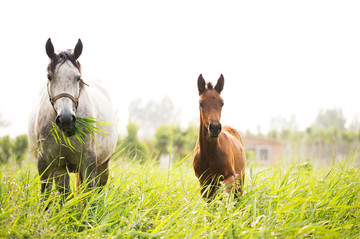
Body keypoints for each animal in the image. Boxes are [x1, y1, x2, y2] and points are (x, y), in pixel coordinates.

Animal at [28, 38, 118, 198]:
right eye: (49, 76)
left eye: (78, 78)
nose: (66, 120)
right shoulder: (46, 164)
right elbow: (47, 195)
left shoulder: (88, 162)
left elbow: (88, 194)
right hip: (60, 168)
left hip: (103, 164)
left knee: (100, 187)